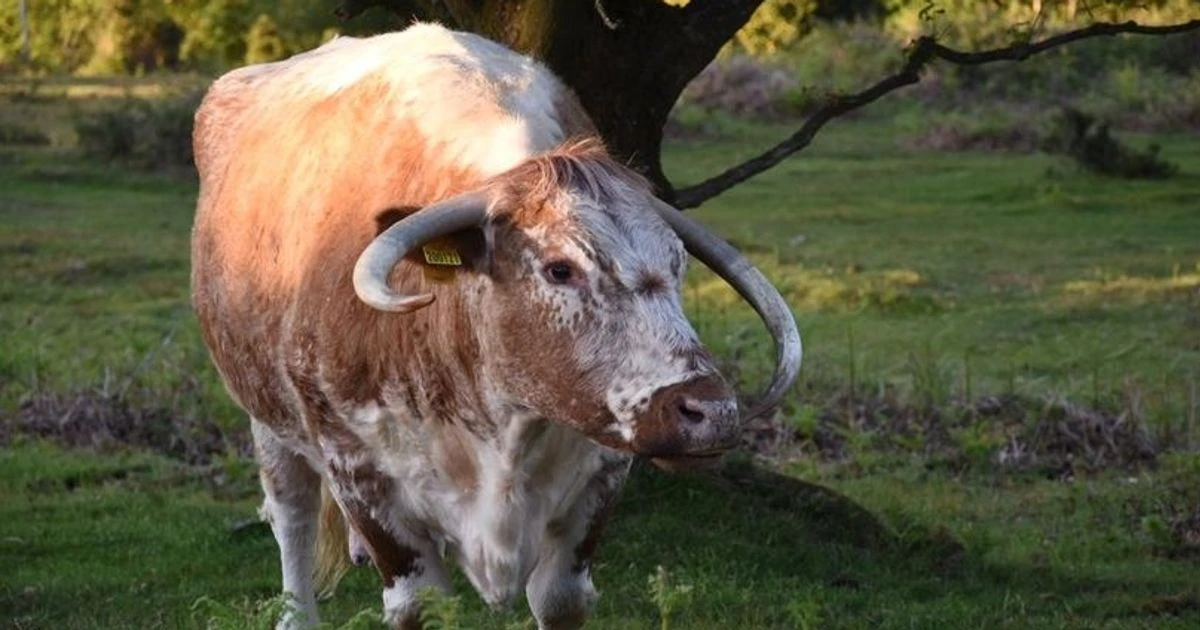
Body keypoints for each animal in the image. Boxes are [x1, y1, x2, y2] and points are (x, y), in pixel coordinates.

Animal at [190, 23, 802, 630]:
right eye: (559, 268)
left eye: (678, 264)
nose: (710, 412)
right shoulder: (360, 471)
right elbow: (415, 603)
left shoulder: (601, 474)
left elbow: (559, 598)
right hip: (266, 416)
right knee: (291, 516)